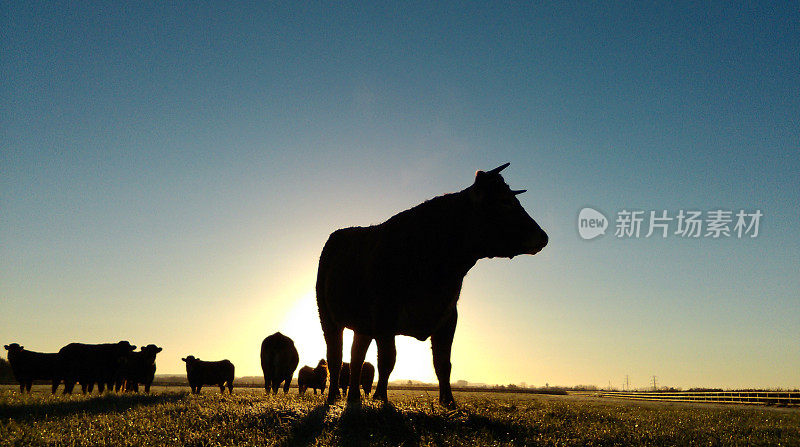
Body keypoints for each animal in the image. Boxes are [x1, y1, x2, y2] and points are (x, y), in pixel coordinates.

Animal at [316, 163, 548, 408]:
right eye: (505, 202)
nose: (543, 237)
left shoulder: (448, 317)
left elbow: (443, 363)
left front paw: (449, 403)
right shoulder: (384, 317)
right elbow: (387, 360)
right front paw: (383, 400)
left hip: (363, 325)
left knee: (356, 356)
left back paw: (354, 398)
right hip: (328, 317)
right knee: (336, 357)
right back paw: (333, 397)